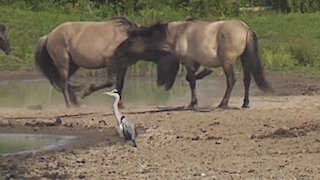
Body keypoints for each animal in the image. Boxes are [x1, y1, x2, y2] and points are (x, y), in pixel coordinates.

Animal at [112, 19, 272, 108]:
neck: (175, 34)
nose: (117, 50)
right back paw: (245, 103)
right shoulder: (194, 62)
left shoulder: (188, 61)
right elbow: (191, 78)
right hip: (245, 59)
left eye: (131, 40)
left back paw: (223, 103)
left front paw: (193, 102)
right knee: (247, 80)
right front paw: (205, 73)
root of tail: (246, 29)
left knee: (231, 80)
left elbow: (192, 80)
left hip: (228, 62)